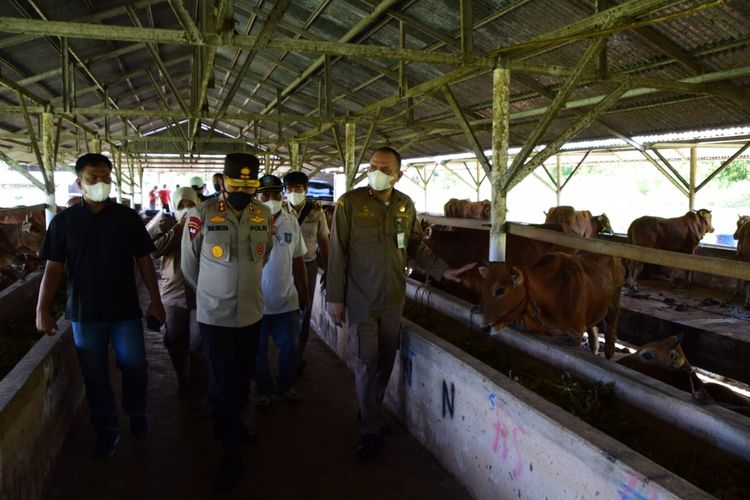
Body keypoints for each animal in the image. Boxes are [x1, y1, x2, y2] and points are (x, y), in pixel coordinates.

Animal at [478, 252, 624, 358]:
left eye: (500, 290)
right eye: (483, 289)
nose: (485, 326)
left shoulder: (576, 333)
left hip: (614, 306)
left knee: (610, 336)